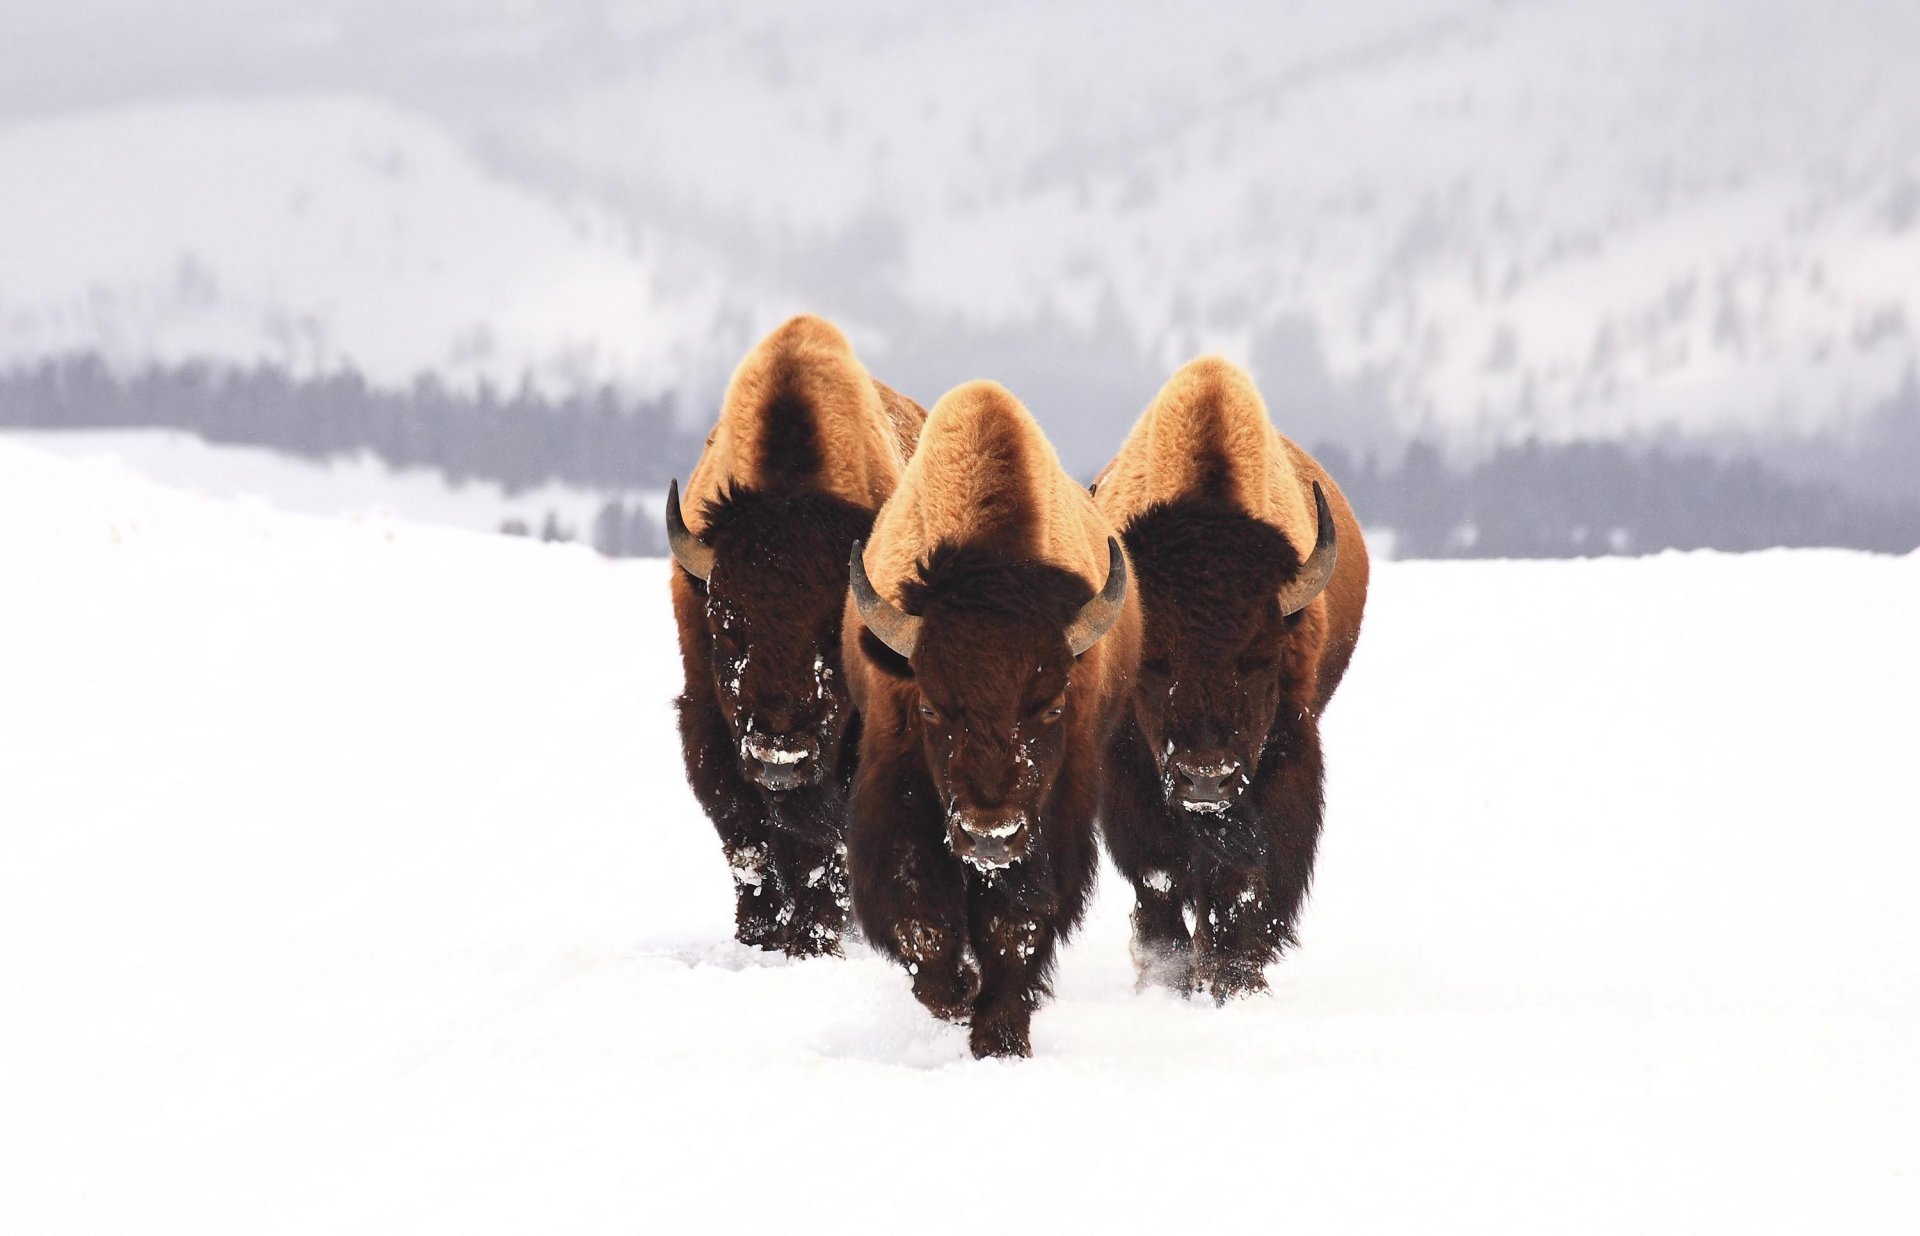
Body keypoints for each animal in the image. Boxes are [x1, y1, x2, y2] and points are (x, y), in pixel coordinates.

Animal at [667, 315, 925, 957]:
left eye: (834, 637)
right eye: (725, 627)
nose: (780, 754)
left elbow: (821, 852)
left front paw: (813, 941)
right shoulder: (708, 721)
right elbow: (747, 840)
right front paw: (759, 936)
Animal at [1092, 357, 1368, 999]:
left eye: (1259, 658)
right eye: (1154, 662)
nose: (1205, 780)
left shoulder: (1284, 757)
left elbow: (1242, 883)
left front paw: (1235, 980)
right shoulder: (1129, 774)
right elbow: (1161, 878)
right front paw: (1167, 979)